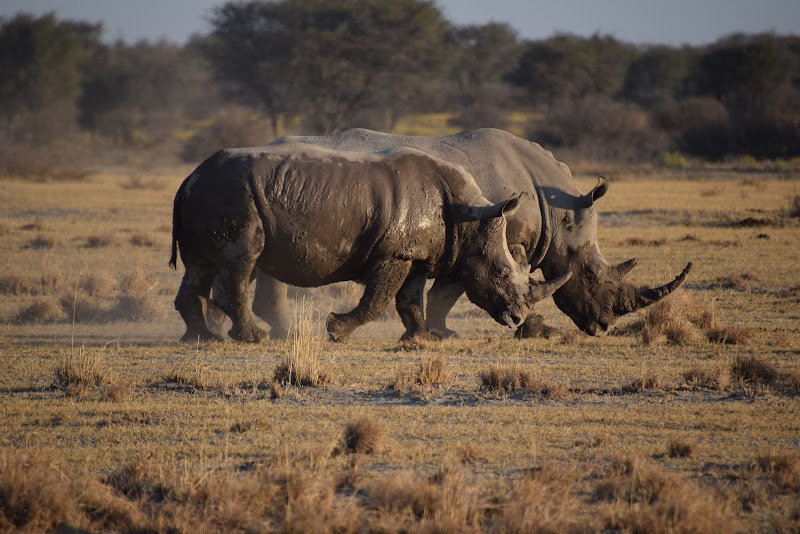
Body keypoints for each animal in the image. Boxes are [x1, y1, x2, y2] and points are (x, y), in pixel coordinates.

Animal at [170, 143, 570, 343]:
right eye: (500, 272)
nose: (517, 318)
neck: (470, 219)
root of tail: (188, 177)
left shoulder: (414, 254)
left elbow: (410, 299)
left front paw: (420, 340)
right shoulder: (392, 252)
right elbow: (377, 299)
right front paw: (336, 330)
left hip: (211, 194)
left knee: (201, 267)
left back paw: (201, 339)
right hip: (232, 195)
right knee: (241, 261)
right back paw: (255, 339)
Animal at [222, 128, 690, 339]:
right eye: (590, 274)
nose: (603, 327)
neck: (558, 211)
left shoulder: (472, 236)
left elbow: (446, 288)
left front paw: (436, 332)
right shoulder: (501, 236)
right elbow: (466, 286)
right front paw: (532, 329)